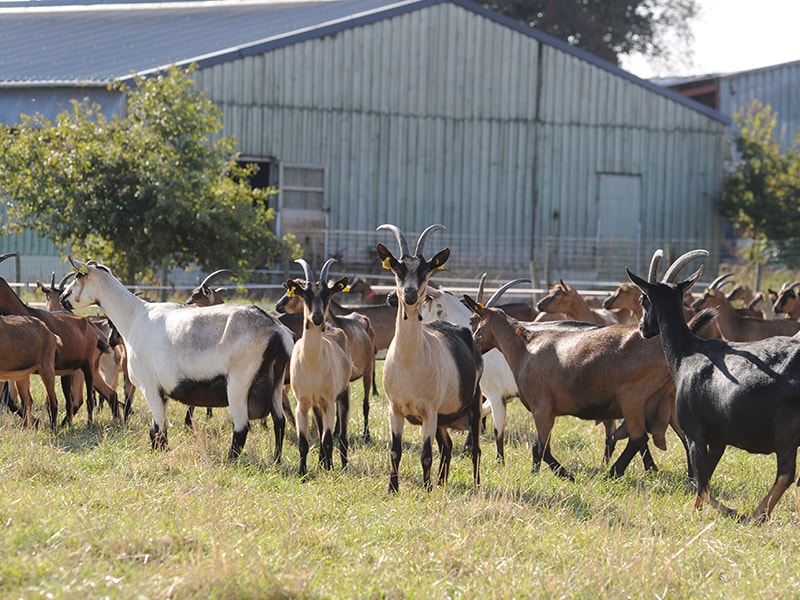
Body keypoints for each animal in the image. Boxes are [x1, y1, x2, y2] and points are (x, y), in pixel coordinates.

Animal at [59, 256, 292, 460]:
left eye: (78, 277)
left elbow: (159, 431)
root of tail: (275, 331)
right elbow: (157, 431)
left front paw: (159, 456)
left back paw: (231, 461)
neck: (134, 316)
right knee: (279, 422)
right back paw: (277, 461)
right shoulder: (163, 392)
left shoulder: (150, 387)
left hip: (238, 384)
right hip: (276, 383)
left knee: (242, 428)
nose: (62, 298)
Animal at [286, 258, 352, 474]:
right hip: (316, 406)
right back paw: (322, 462)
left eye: (327, 294)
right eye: (305, 294)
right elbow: (303, 442)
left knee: (342, 436)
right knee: (322, 428)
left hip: (343, 395)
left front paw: (330, 469)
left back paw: (341, 465)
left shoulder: (329, 401)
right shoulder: (303, 403)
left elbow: (328, 439)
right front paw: (302, 472)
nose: (317, 318)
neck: (312, 364)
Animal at [376, 225, 482, 492]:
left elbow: (425, 455)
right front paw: (393, 488)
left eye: (425, 270)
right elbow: (395, 451)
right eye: (397, 268)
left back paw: (476, 486)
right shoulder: (395, 409)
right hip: (443, 419)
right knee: (447, 446)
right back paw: (442, 483)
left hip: (473, 404)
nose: (410, 293)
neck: (409, 362)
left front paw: (425, 489)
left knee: (475, 449)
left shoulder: (429, 412)